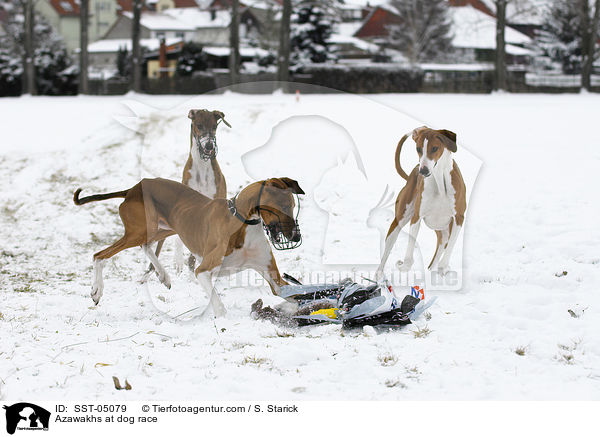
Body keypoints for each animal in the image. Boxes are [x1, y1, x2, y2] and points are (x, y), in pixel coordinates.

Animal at [72, 175, 302, 316]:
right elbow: (219, 306)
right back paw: (97, 290)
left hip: (167, 227)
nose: (296, 237)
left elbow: (296, 296)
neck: (241, 221)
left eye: (292, 205)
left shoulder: (274, 279)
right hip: (140, 230)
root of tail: (133, 189)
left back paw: (163, 276)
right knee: (99, 255)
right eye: (282, 206)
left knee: (146, 245)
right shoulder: (203, 270)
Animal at [376, 126, 468, 276]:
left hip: (443, 230)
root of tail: (411, 175)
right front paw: (403, 265)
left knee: (440, 247)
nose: (423, 171)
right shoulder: (416, 217)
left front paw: (443, 267)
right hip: (399, 221)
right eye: (418, 149)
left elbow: (449, 250)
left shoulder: (459, 218)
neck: (440, 182)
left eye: (435, 148)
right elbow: (409, 253)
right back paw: (379, 275)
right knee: (387, 249)